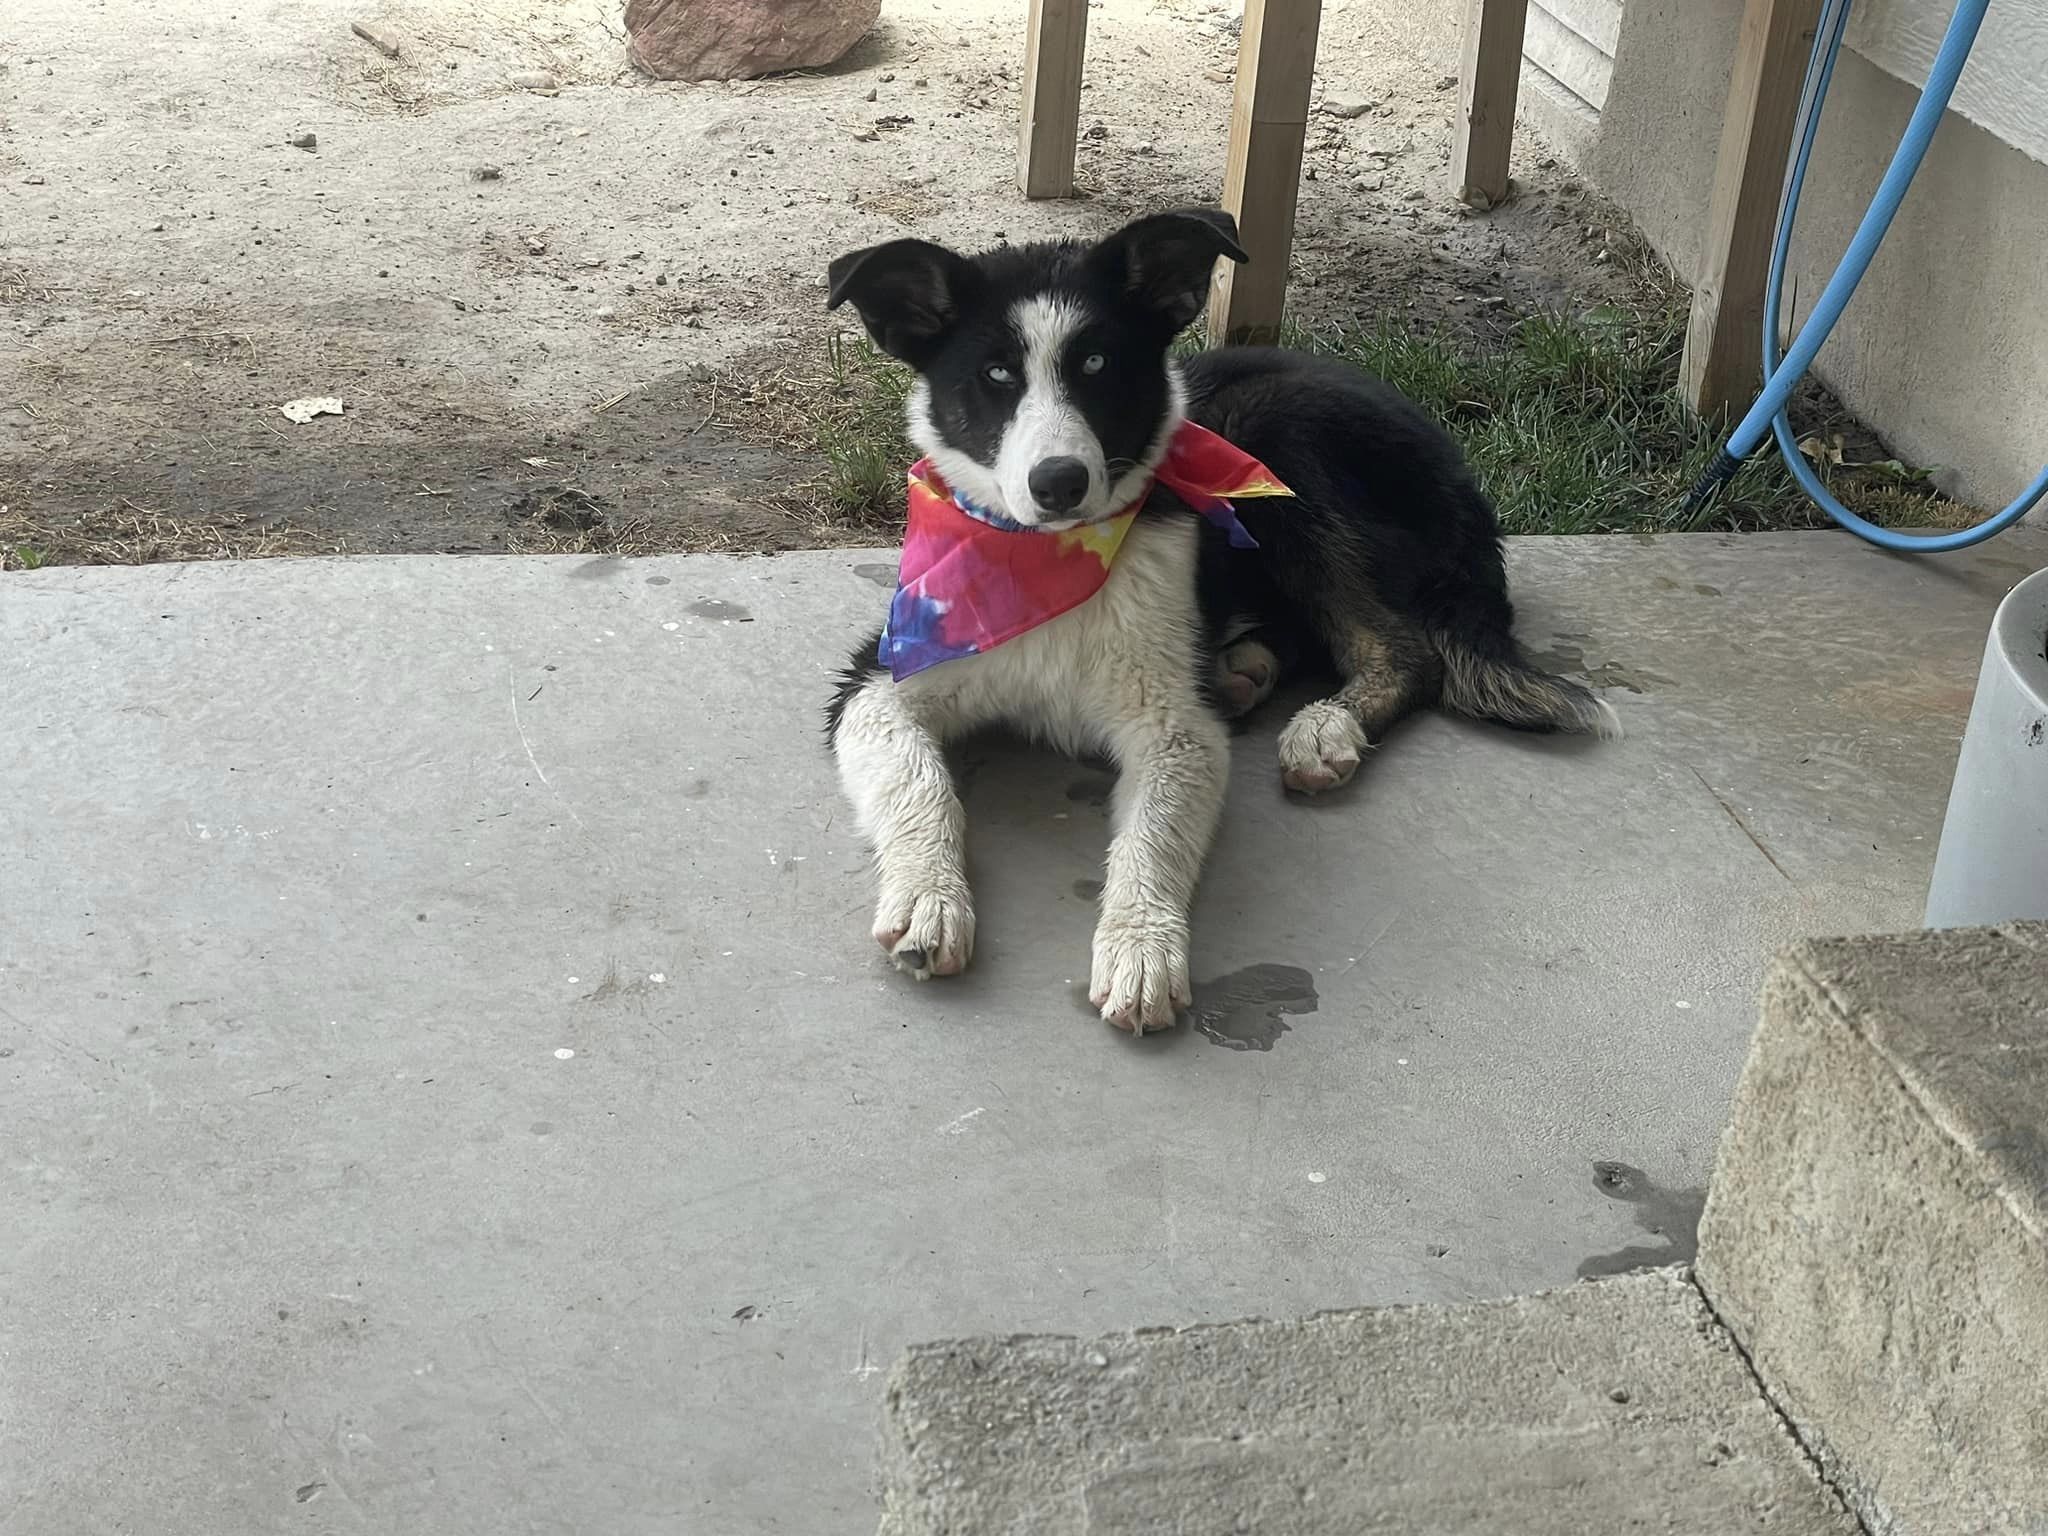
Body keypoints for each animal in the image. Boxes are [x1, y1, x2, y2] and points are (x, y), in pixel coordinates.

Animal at [823, 207, 1605, 1036]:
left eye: (1098, 363)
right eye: (996, 375)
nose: (1059, 482)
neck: (1050, 561)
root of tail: (1460, 474)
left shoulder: (1175, 727)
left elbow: (1154, 833)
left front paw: (1142, 947)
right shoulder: (879, 676)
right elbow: (919, 779)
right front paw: (927, 901)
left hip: (1284, 437)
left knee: (1403, 648)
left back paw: (1324, 726)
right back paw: (1247, 670)